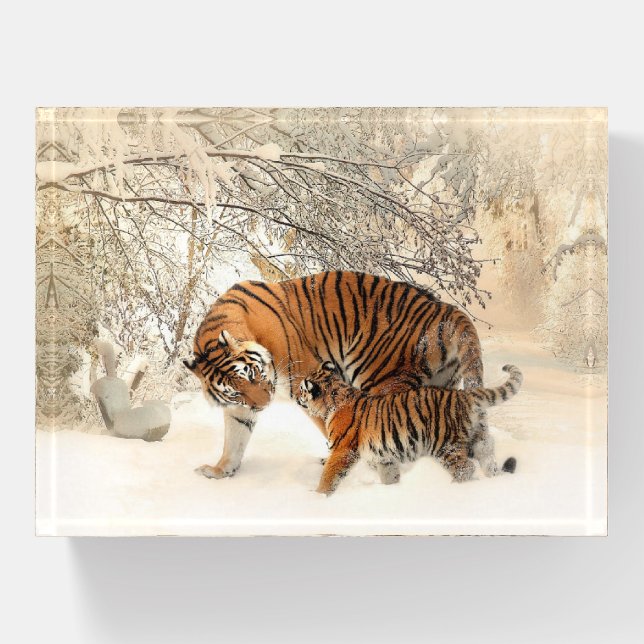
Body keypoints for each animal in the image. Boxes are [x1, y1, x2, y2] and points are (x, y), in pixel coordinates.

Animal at [184, 271, 491, 481]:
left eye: (251, 373)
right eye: (235, 391)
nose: (264, 404)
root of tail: (444, 309)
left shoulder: (308, 380)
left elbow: (335, 426)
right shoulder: (240, 408)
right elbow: (234, 438)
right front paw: (219, 470)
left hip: (381, 380)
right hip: (440, 386)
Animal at [297, 362, 522, 495]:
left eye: (301, 389)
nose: (297, 398)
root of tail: (464, 395)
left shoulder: (342, 450)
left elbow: (329, 475)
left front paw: (319, 496)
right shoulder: (384, 457)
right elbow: (389, 475)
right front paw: (392, 491)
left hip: (445, 446)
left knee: (465, 469)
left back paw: (453, 490)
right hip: (479, 439)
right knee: (488, 459)